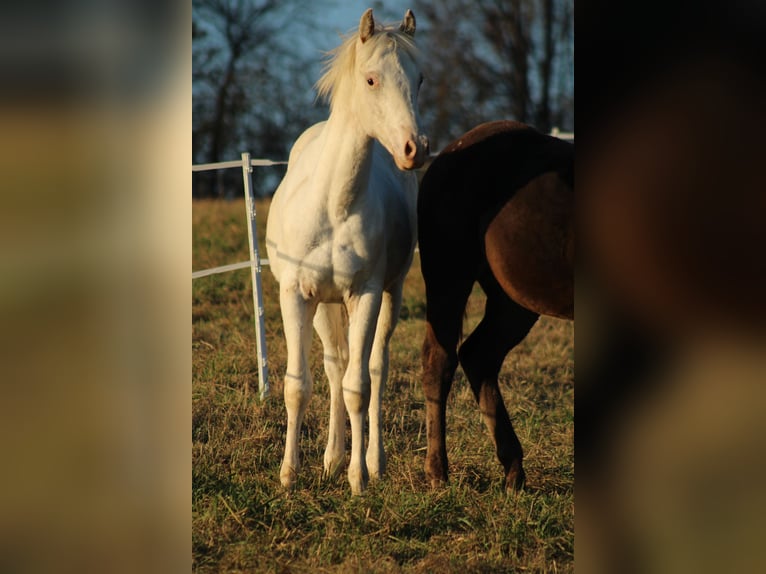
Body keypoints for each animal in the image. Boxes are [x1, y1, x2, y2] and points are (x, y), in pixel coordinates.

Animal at [268, 7, 428, 496]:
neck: (332, 205)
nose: (415, 148)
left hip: (390, 296)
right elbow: (298, 385)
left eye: (419, 79)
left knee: (374, 369)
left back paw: (370, 461)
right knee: (334, 366)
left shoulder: (367, 295)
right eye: (371, 79)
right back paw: (331, 458)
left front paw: (359, 479)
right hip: (323, 305)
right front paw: (289, 475)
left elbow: (360, 387)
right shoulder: (295, 294)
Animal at [420, 120, 576, 490]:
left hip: (514, 301)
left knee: (478, 356)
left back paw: (513, 471)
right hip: (450, 277)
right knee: (440, 361)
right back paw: (438, 473)